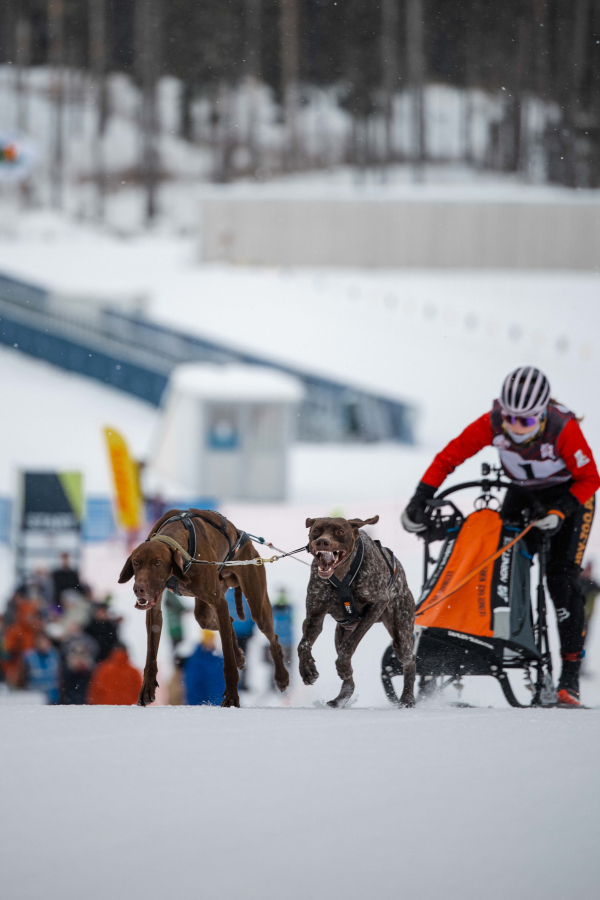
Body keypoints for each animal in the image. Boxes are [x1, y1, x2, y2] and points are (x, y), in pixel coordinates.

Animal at [118, 509, 289, 707]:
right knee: (226, 621)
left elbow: (228, 663)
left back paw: (282, 677)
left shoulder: (219, 603)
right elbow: (151, 657)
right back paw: (239, 655)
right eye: (136, 562)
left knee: (272, 638)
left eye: (157, 563)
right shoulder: (154, 611)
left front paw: (232, 697)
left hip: (256, 604)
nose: (139, 588)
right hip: (205, 612)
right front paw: (147, 689)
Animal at [298, 515, 416, 707]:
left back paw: (407, 698)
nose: (322, 541)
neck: (341, 574)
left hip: (401, 632)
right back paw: (341, 698)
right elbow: (303, 645)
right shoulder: (314, 616)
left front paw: (343, 666)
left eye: (340, 531)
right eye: (316, 530)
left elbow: (351, 644)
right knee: (348, 676)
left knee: (410, 659)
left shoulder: (377, 605)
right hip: (340, 633)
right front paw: (307, 668)